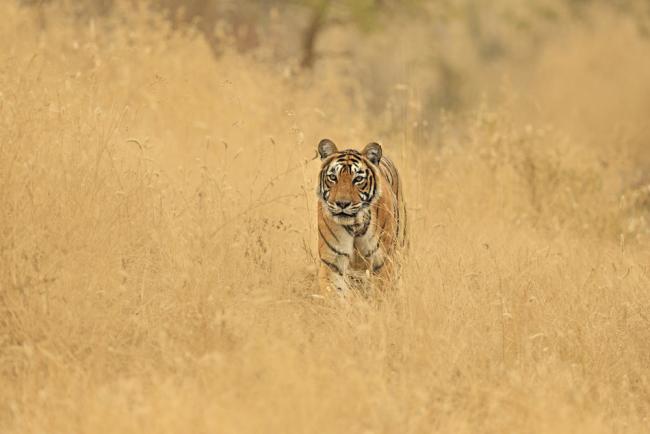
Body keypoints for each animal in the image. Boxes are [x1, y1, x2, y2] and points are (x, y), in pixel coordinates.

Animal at [316, 139, 404, 294]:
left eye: (358, 179)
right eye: (333, 177)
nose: (342, 203)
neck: (356, 226)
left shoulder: (383, 263)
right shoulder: (333, 262)